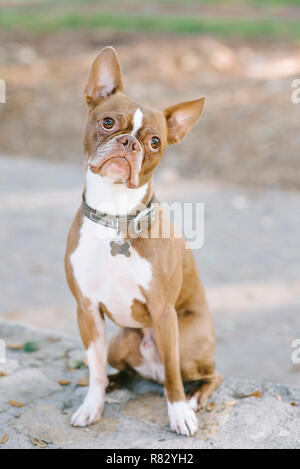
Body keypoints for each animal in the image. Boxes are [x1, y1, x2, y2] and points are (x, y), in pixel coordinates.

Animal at [64, 46, 221, 436]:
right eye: (107, 122)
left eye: (155, 142)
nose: (129, 142)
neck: (115, 217)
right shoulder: (87, 310)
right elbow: (94, 368)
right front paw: (92, 405)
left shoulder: (164, 312)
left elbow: (173, 381)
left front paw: (179, 413)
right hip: (121, 339)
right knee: (122, 370)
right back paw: (114, 383)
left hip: (188, 342)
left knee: (202, 374)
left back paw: (195, 399)